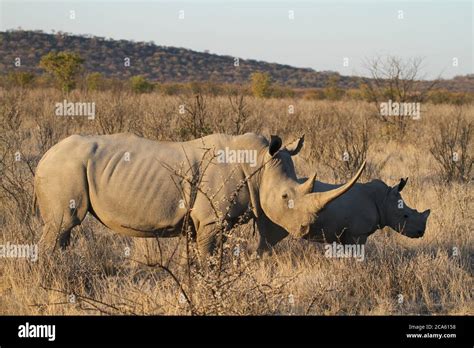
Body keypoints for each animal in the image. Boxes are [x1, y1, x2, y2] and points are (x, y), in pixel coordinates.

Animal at [34, 133, 366, 258]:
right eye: (286, 197)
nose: (307, 229)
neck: (258, 164)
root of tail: (45, 155)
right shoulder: (209, 220)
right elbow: (208, 256)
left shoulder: (200, 221)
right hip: (64, 167)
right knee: (63, 224)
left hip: (67, 166)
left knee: (64, 229)